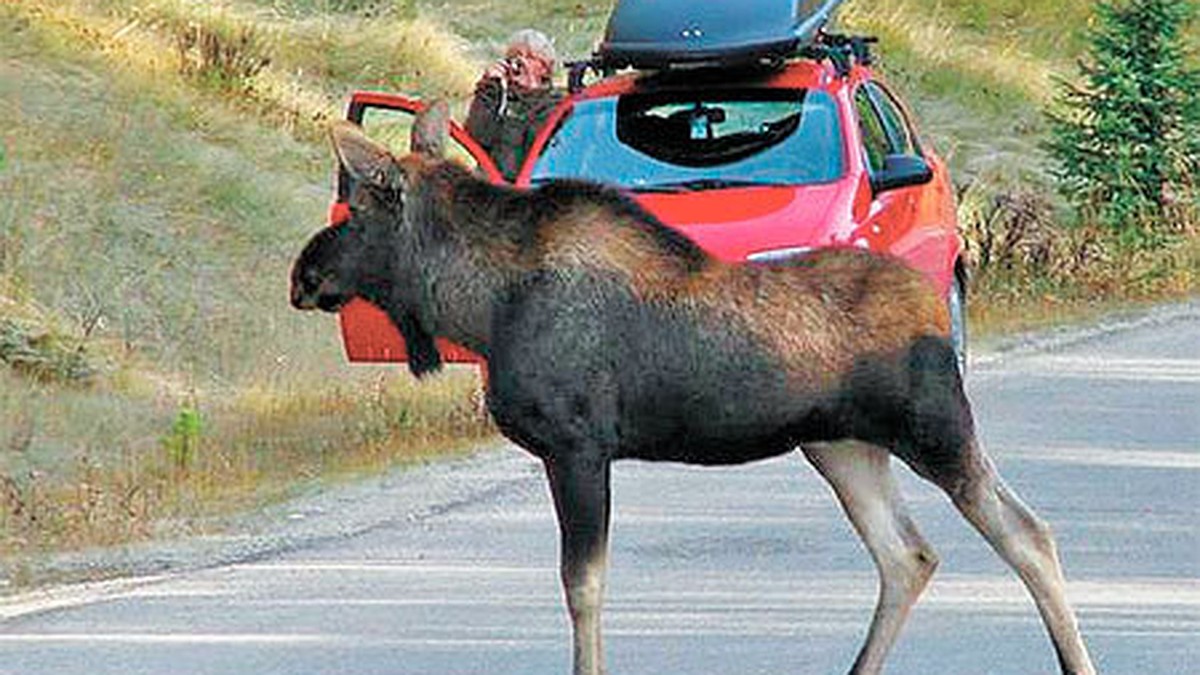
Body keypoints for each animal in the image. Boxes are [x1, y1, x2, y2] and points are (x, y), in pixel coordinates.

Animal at [292, 100, 1099, 672]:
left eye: (356, 209)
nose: (303, 272)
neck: (481, 304)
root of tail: (935, 301)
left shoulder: (577, 445)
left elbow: (583, 587)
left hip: (934, 428)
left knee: (1027, 532)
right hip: (840, 446)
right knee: (907, 554)